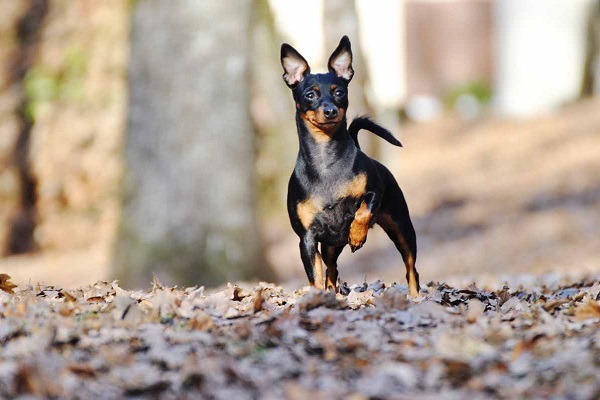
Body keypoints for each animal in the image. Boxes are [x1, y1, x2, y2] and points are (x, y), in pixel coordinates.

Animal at [278, 35, 420, 296]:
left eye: (339, 92)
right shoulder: (307, 238)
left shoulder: (374, 191)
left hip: (401, 228)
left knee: (411, 267)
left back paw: (415, 297)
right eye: (310, 95)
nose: (330, 110)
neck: (326, 160)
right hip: (330, 246)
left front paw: (356, 236)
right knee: (332, 271)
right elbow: (315, 277)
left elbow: (362, 211)